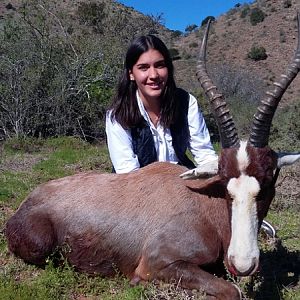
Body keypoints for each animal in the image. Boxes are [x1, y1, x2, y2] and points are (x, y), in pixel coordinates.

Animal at [4, 12, 300, 298]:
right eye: (226, 184)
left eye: (267, 183)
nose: (243, 263)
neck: (204, 203)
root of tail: (27, 203)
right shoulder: (156, 263)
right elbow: (233, 291)